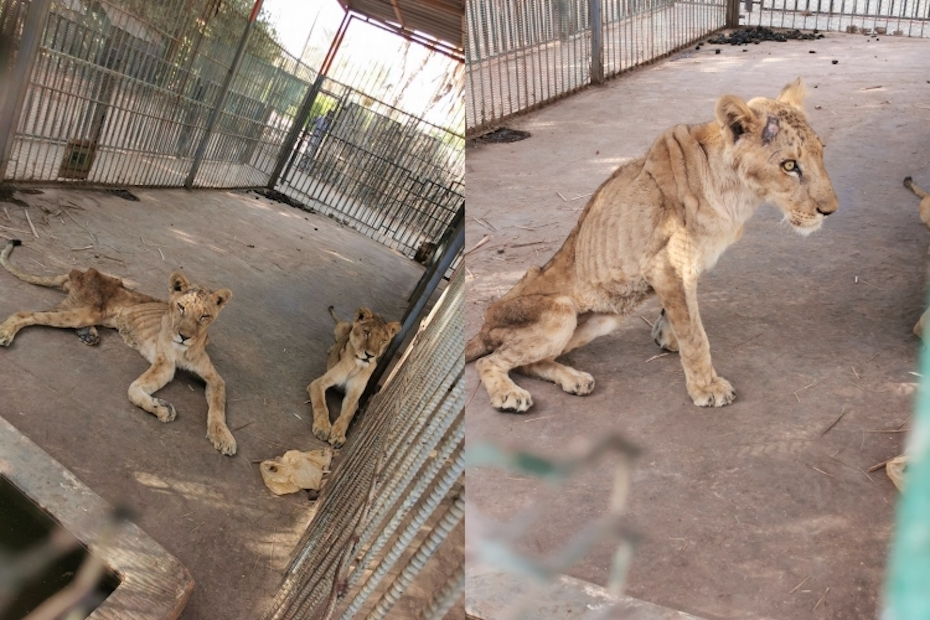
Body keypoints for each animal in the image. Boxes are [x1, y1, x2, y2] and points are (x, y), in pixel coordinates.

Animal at [468, 80, 836, 414]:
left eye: (821, 152)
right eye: (789, 165)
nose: (830, 210)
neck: (739, 194)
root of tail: (484, 323)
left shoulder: (683, 266)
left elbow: (681, 315)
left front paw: (666, 336)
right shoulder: (668, 265)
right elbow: (694, 333)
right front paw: (706, 388)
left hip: (603, 319)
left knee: (530, 362)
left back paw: (575, 379)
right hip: (560, 311)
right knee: (491, 361)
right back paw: (509, 394)